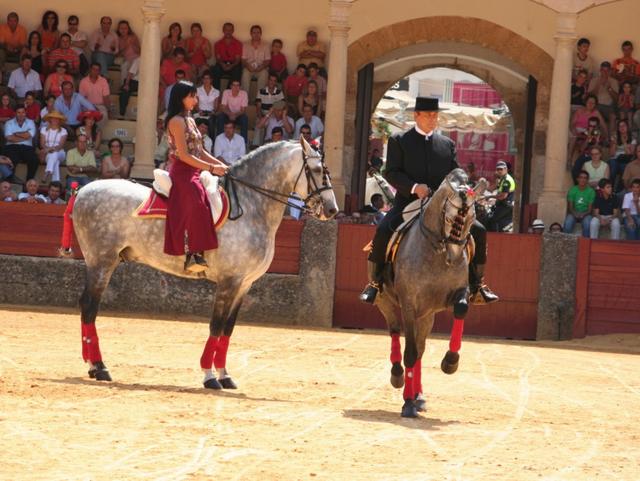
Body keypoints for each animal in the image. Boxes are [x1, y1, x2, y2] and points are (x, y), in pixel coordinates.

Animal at [72, 138, 338, 390]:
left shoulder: (245, 284)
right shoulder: (229, 282)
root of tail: (83, 190)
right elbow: (216, 326)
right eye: (317, 170)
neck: (251, 207)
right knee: (89, 307)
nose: (332, 210)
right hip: (101, 261)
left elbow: (228, 329)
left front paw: (225, 375)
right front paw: (210, 377)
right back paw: (100, 367)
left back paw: (93, 367)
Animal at [370, 169, 484, 416]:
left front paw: (450, 362)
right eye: (450, 219)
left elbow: (461, 308)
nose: (454, 257)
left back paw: (418, 395)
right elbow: (410, 352)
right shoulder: (409, 304)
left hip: (427, 314)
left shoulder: (455, 294)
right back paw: (398, 377)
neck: (436, 250)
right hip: (385, 302)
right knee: (396, 332)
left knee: (420, 349)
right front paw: (407, 404)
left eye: (472, 219)